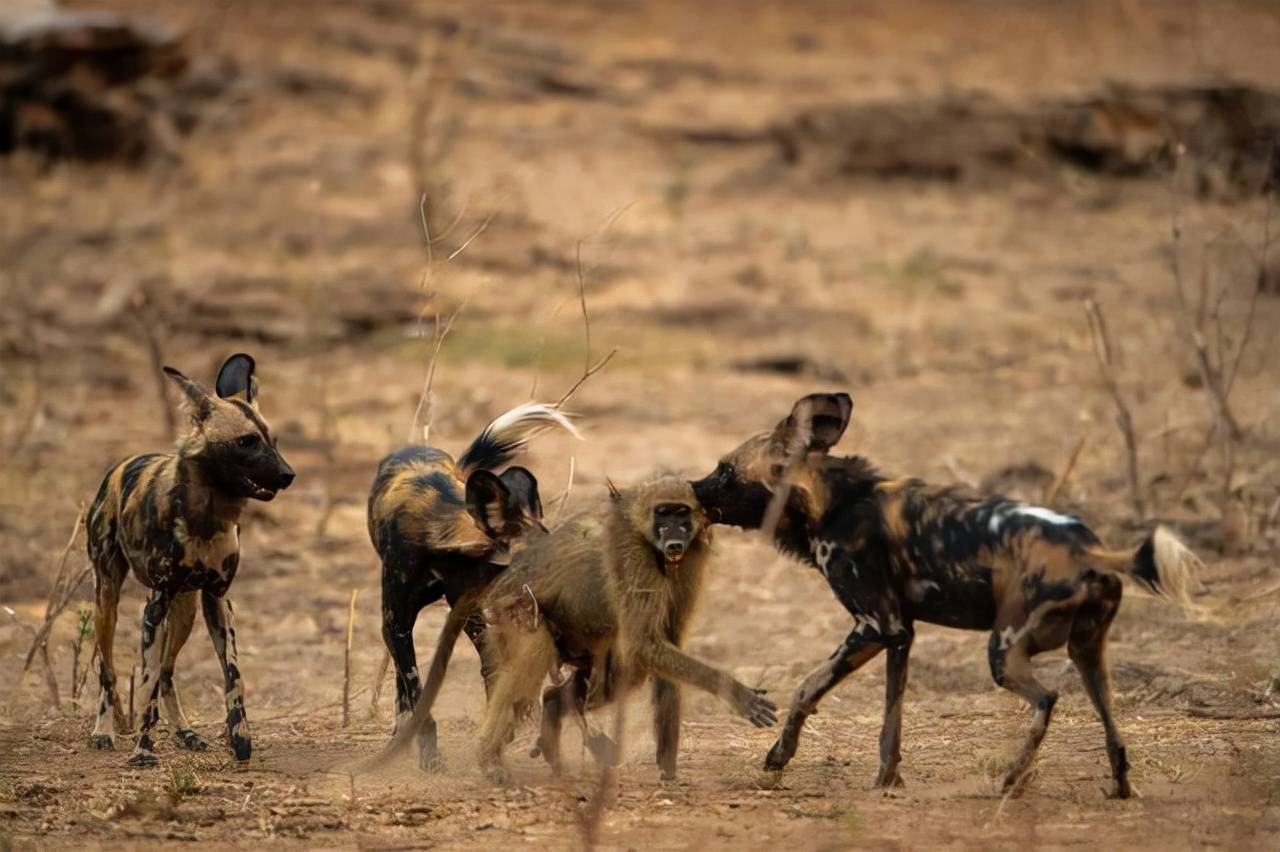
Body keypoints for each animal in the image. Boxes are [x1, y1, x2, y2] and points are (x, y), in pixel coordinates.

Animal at [87, 350, 293, 762]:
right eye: (246, 442)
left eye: (272, 440)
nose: (288, 474)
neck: (206, 517)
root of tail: (120, 465)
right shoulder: (155, 606)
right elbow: (145, 686)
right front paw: (143, 752)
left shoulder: (216, 600)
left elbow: (233, 676)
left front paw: (240, 739)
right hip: (108, 602)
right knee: (109, 670)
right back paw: (103, 732)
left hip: (186, 611)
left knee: (168, 673)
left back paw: (185, 732)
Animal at [366, 401, 576, 767]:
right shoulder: (396, 624)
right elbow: (417, 693)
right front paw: (429, 756)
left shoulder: (472, 612)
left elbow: (492, 674)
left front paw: (500, 734)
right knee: (402, 683)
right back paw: (400, 736)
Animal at [691, 391, 1198, 798]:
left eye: (724, 470)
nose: (692, 488)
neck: (833, 502)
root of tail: (1090, 549)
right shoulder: (900, 635)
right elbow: (890, 726)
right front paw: (887, 782)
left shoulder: (874, 626)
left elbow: (805, 688)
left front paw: (779, 756)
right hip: (1088, 654)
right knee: (1113, 728)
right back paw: (1119, 790)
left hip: (1004, 650)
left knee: (1046, 699)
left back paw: (1010, 780)